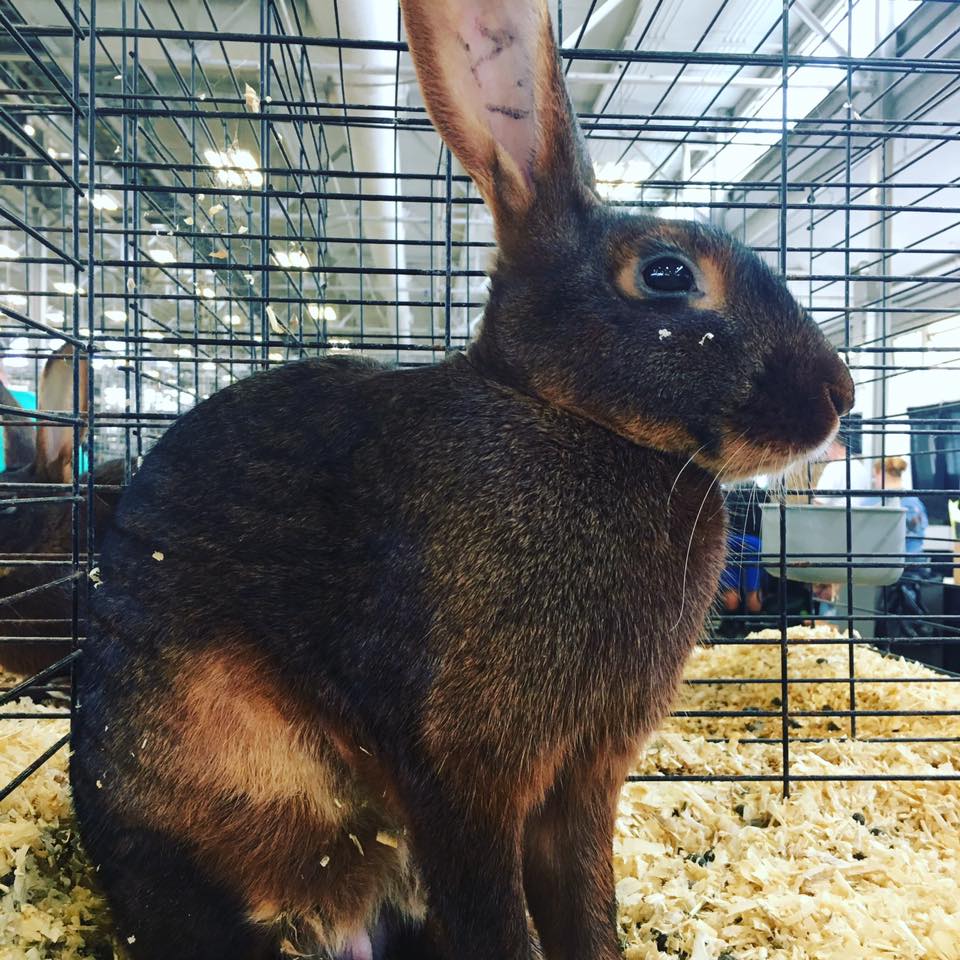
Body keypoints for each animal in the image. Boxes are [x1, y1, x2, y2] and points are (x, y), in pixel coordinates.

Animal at [70, 1, 854, 959]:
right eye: (667, 273)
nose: (839, 398)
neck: (569, 417)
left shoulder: (581, 785)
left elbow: (585, 902)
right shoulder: (457, 776)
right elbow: (494, 914)